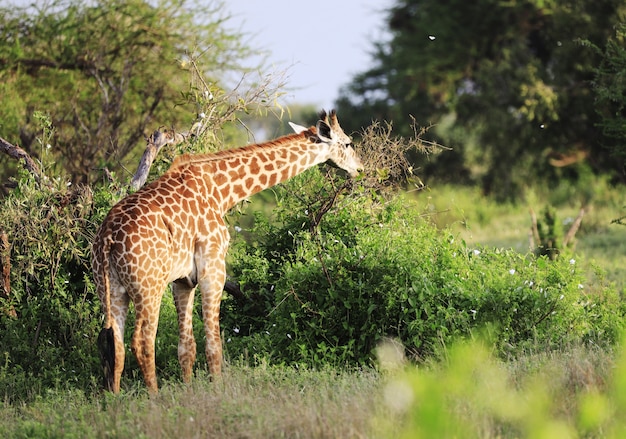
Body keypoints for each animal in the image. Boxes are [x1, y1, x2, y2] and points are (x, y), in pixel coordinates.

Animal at [91, 111, 364, 396]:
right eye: (348, 143)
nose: (360, 168)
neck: (222, 191)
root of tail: (107, 237)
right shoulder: (213, 269)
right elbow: (214, 344)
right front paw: (218, 392)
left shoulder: (182, 280)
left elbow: (186, 347)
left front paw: (189, 393)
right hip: (149, 287)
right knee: (142, 342)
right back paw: (154, 398)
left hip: (111, 289)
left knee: (115, 345)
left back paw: (115, 398)